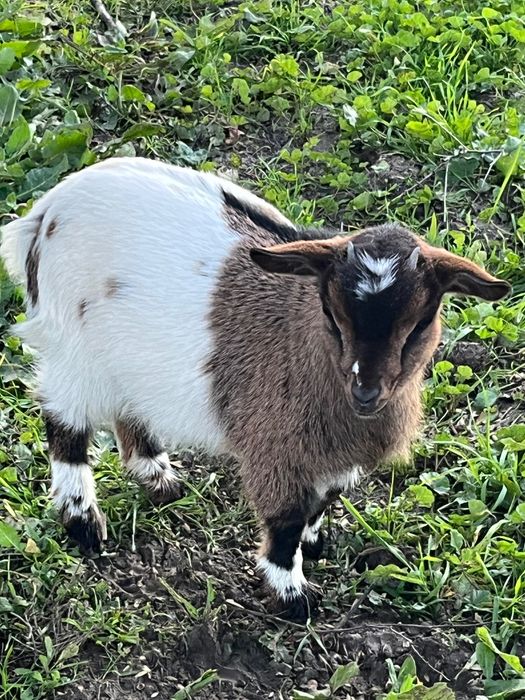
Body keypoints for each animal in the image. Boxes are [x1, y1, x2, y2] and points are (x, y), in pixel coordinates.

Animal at [0, 157, 511, 621]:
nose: (366, 393)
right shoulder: (276, 446)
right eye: (332, 315)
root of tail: (44, 213)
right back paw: (84, 522)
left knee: (130, 411)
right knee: (65, 426)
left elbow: (324, 498)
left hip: (128, 357)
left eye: (420, 323)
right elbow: (285, 522)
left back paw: (160, 478)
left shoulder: (332, 455)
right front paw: (293, 595)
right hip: (74, 352)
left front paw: (315, 542)